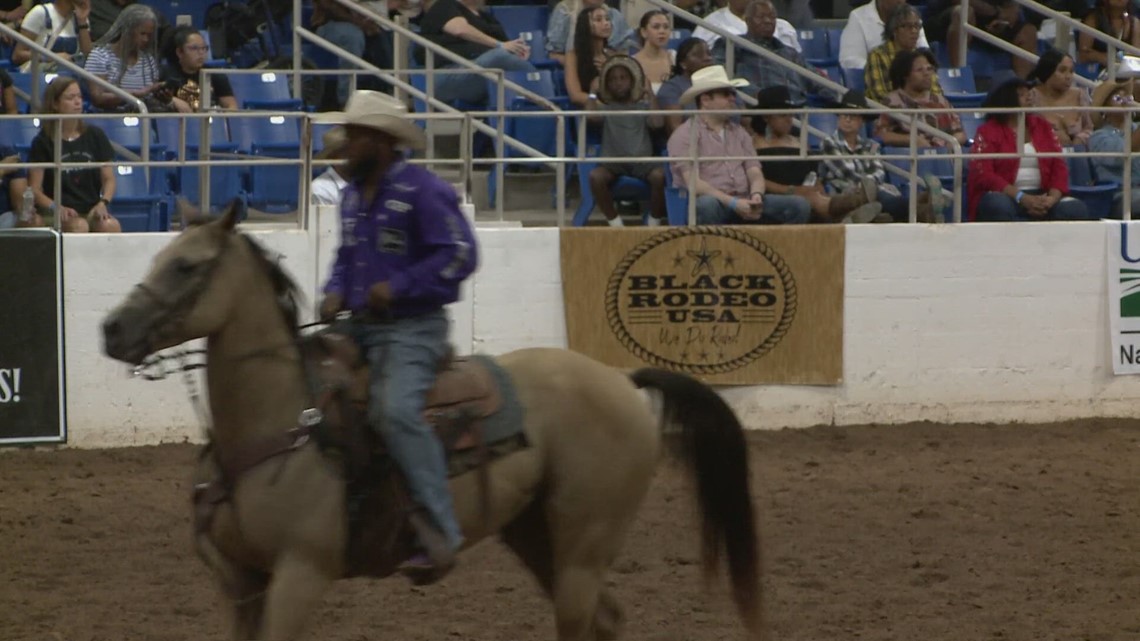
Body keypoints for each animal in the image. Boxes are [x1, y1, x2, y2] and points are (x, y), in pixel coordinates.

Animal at [102, 205, 761, 638]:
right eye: (158, 257)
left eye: (186, 266)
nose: (112, 329)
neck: (282, 418)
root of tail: (620, 380)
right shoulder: (242, 584)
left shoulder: (301, 574)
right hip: (535, 532)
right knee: (607, 618)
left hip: (585, 541)